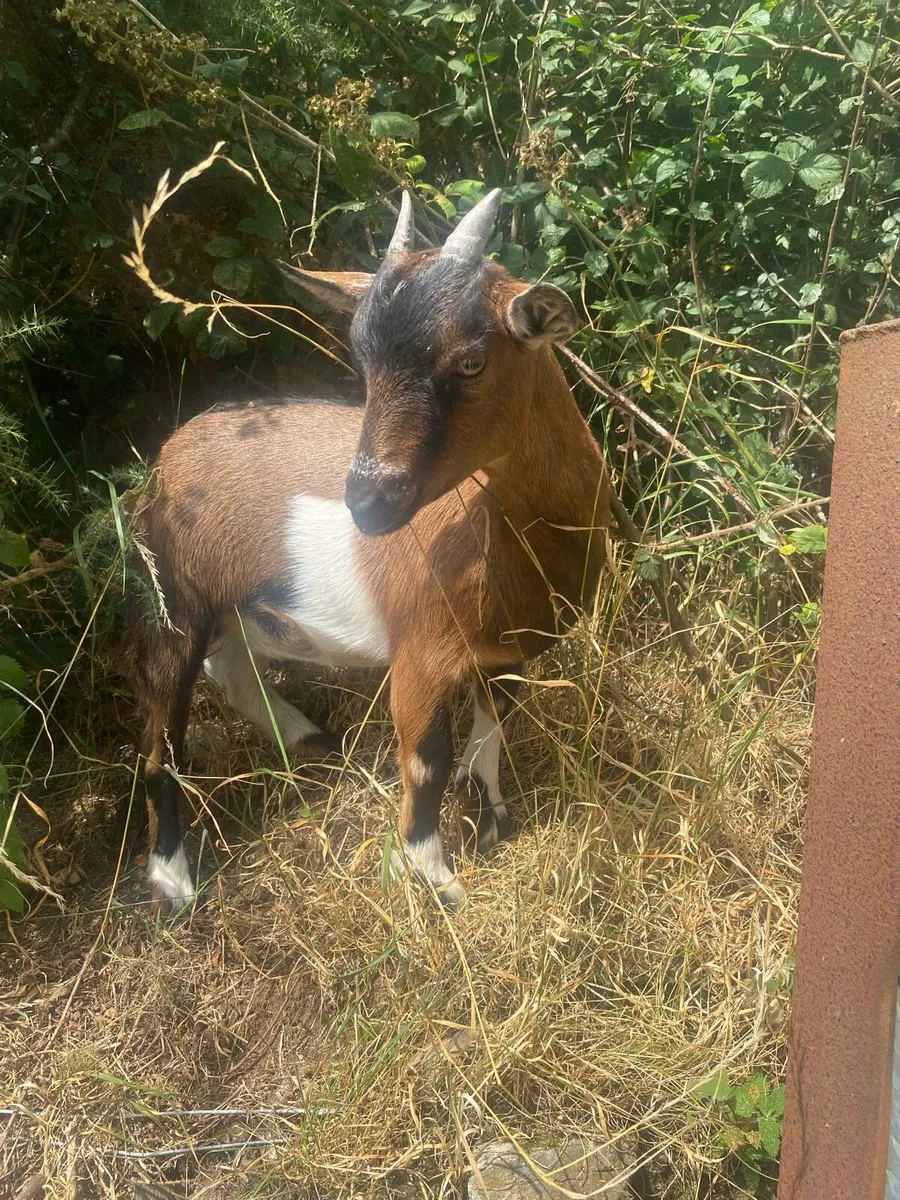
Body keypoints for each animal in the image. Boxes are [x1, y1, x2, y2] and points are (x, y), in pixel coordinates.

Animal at [126, 188, 611, 913]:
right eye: (363, 361)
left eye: (472, 360)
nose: (368, 500)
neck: (504, 527)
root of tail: (172, 450)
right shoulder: (421, 654)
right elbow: (425, 761)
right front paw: (438, 882)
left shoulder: (508, 650)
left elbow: (492, 726)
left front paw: (493, 811)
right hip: (173, 602)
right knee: (163, 743)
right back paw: (175, 883)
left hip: (234, 607)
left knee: (231, 671)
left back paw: (309, 738)